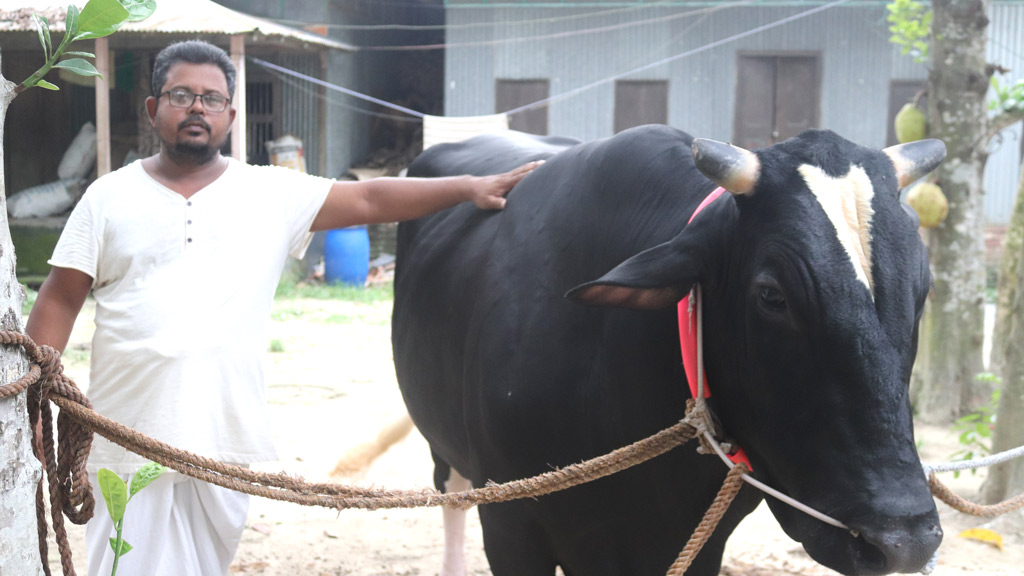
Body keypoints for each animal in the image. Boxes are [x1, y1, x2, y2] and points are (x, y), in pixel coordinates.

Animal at [389, 126, 942, 573]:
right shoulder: (510, 522)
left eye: (923, 290)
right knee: (451, 495)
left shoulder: (703, 539)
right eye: (772, 295)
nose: (902, 541)